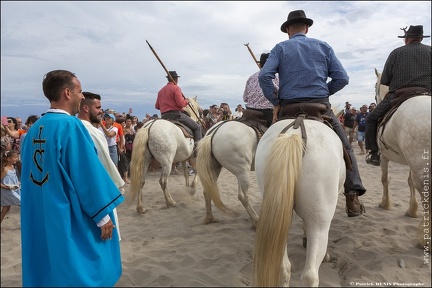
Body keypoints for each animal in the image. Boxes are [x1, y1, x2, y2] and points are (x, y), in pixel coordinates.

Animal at [372, 68, 430, 248]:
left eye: (375, 87)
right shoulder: (411, 163)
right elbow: (409, 182)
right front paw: (412, 210)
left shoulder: (384, 157)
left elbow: (385, 179)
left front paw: (385, 203)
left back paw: (424, 238)